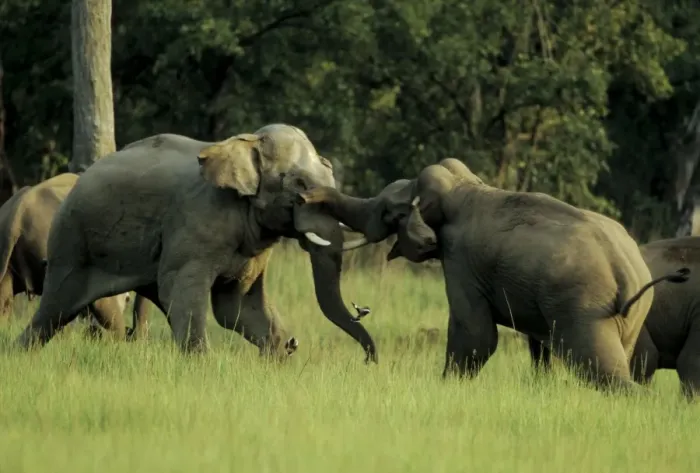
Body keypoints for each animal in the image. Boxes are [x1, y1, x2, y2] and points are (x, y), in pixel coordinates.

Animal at [15, 124, 376, 362]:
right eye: (299, 184)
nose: (295, 343)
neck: (242, 141)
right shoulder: (196, 220)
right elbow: (183, 287)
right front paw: (201, 363)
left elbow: (236, 305)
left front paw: (278, 353)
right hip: (71, 243)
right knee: (56, 306)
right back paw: (18, 354)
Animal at [296, 158, 690, 390]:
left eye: (390, 213)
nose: (303, 193)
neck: (466, 186)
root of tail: (627, 271)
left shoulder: (460, 260)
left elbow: (476, 335)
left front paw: (447, 387)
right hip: (631, 317)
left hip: (584, 309)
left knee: (600, 369)